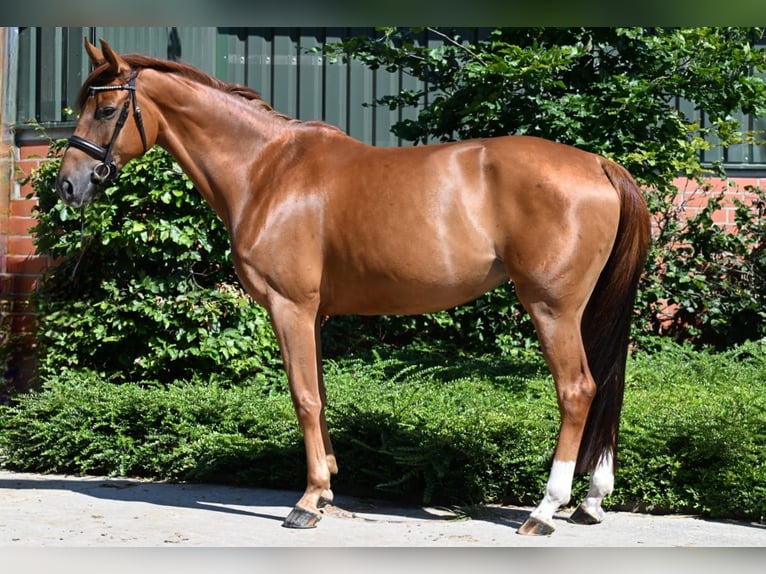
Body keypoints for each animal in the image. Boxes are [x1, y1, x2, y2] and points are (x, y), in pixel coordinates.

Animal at [57, 39, 652, 536]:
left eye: (105, 110)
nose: (69, 184)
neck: (266, 170)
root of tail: (598, 163)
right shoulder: (316, 314)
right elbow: (319, 395)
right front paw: (327, 490)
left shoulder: (290, 307)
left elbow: (302, 398)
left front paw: (307, 501)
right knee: (604, 386)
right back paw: (591, 501)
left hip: (552, 308)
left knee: (577, 391)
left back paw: (545, 510)